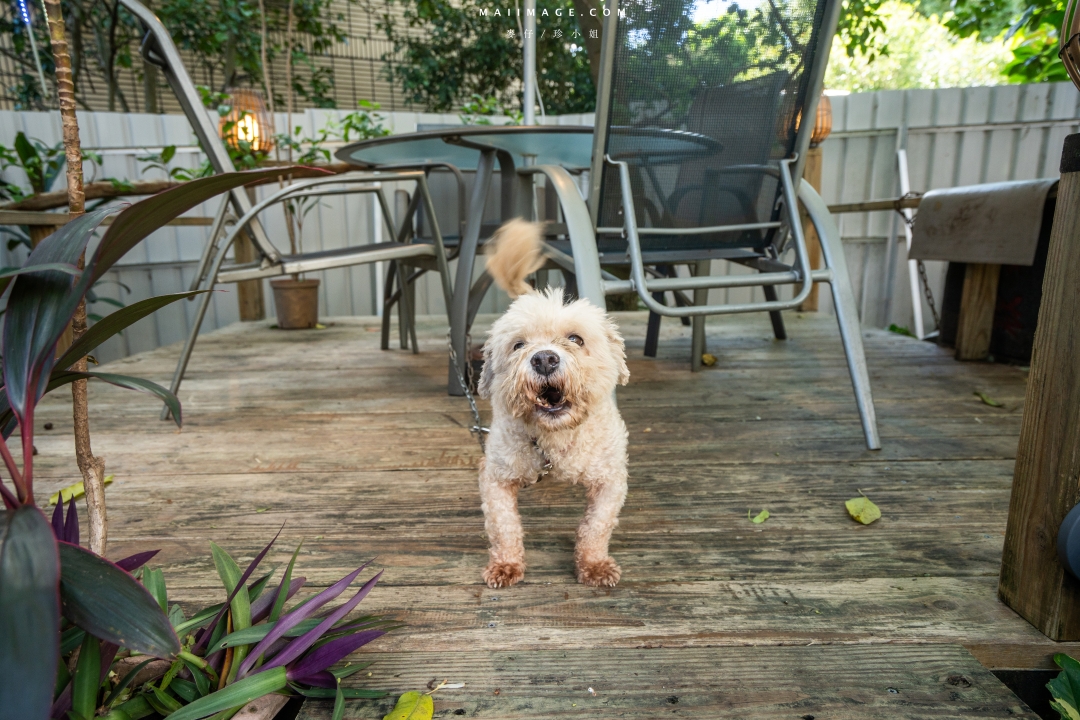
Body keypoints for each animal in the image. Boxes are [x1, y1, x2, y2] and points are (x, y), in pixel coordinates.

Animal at [477, 221, 630, 591]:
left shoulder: (612, 479)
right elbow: (504, 526)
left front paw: (594, 565)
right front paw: (506, 565)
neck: (556, 436)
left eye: (575, 339)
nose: (544, 358)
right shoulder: (495, 477)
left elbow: (596, 526)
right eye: (518, 345)